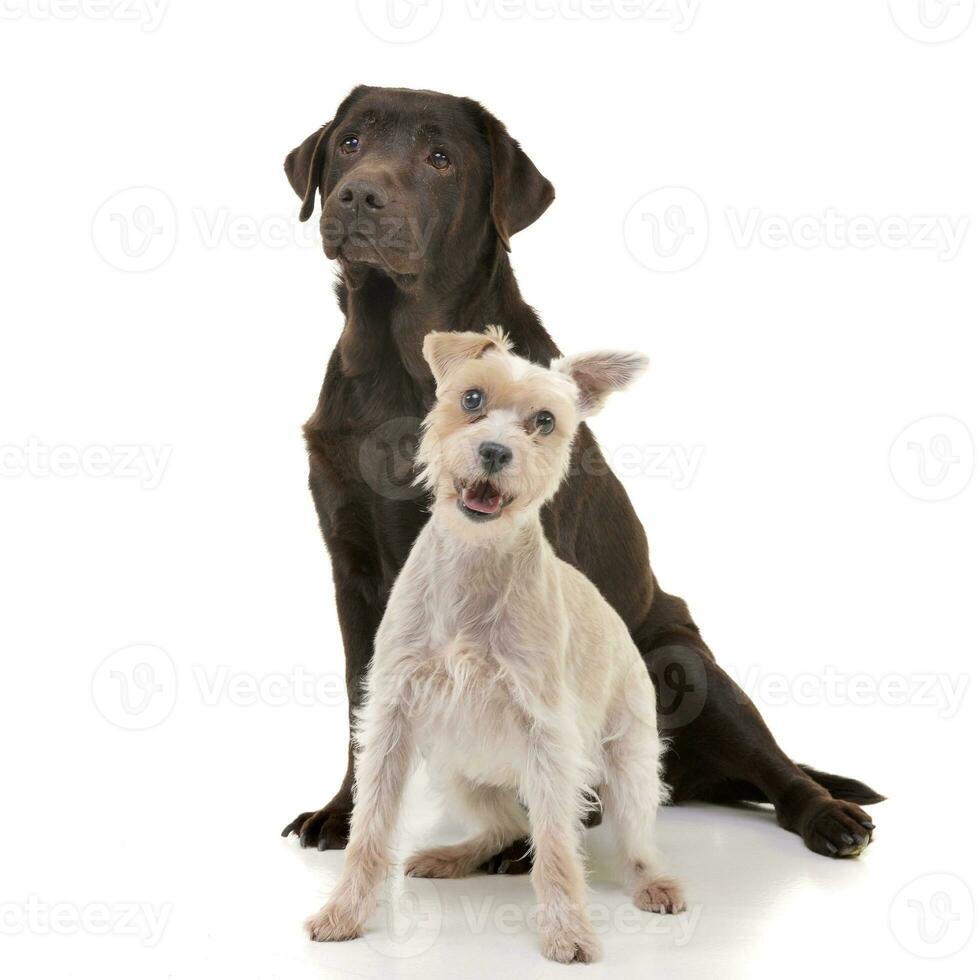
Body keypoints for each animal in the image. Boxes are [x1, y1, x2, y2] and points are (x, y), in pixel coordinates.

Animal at [306, 330, 680, 964]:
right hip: (457, 768)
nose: (495, 453)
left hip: (628, 769)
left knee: (632, 843)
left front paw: (566, 931)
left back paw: (653, 882)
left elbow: (556, 849)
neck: (473, 564)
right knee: (506, 825)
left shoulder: (548, 737)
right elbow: (370, 826)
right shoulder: (394, 718)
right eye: (472, 398)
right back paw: (449, 856)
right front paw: (344, 912)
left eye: (545, 421)